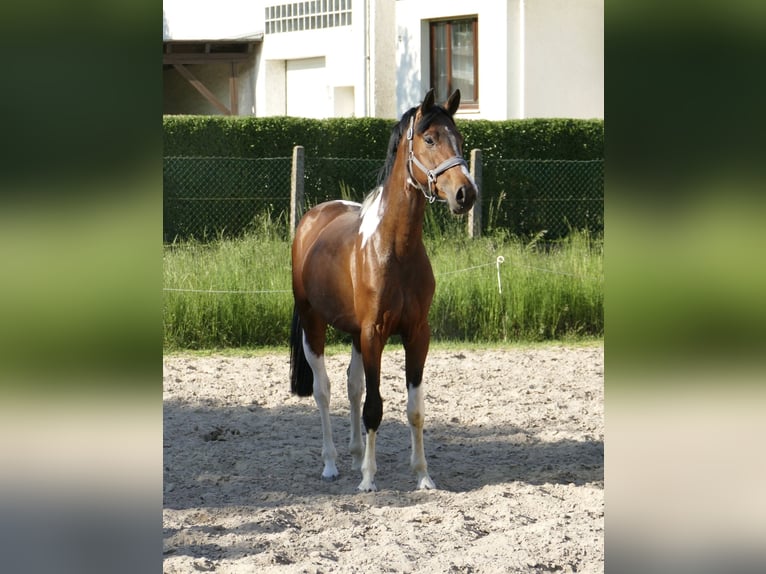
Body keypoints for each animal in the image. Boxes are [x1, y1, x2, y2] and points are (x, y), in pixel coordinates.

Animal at [289, 89, 478, 492]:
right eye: (429, 139)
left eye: (459, 139)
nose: (465, 194)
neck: (395, 248)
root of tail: (313, 218)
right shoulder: (374, 333)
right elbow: (374, 408)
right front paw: (368, 481)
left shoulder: (417, 334)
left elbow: (414, 408)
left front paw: (422, 475)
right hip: (315, 325)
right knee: (324, 390)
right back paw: (332, 464)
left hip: (354, 334)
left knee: (352, 385)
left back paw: (356, 455)